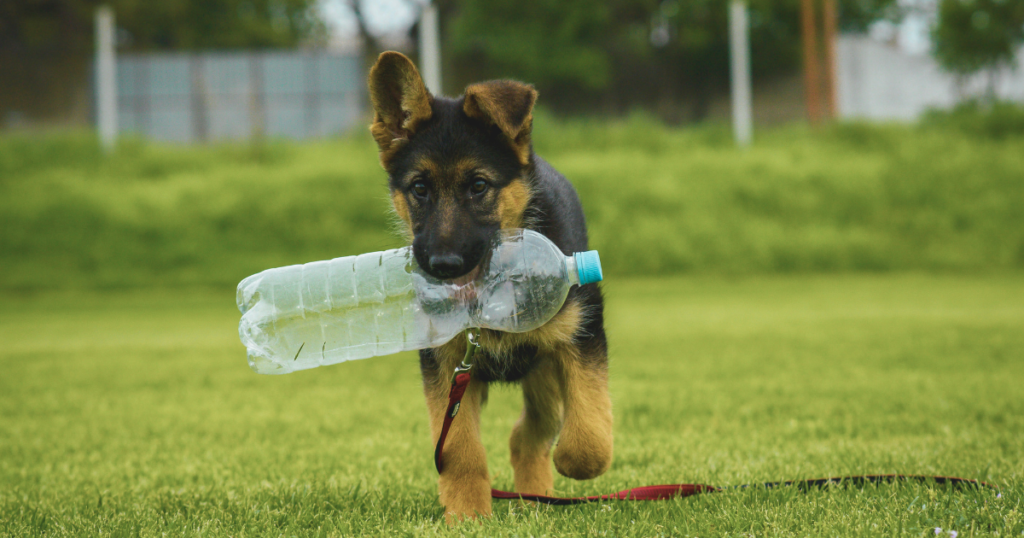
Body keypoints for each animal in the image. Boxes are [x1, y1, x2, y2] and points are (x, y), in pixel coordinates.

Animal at [366, 52, 606, 518]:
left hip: (544, 371)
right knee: (525, 435)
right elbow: (460, 449)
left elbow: (589, 441)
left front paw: (571, 460)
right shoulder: (447, 364)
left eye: (479, 186)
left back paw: (538, 494)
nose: (443, 265)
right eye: (419, 188)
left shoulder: (580, 335)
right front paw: (467, 513)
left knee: (532, 433)